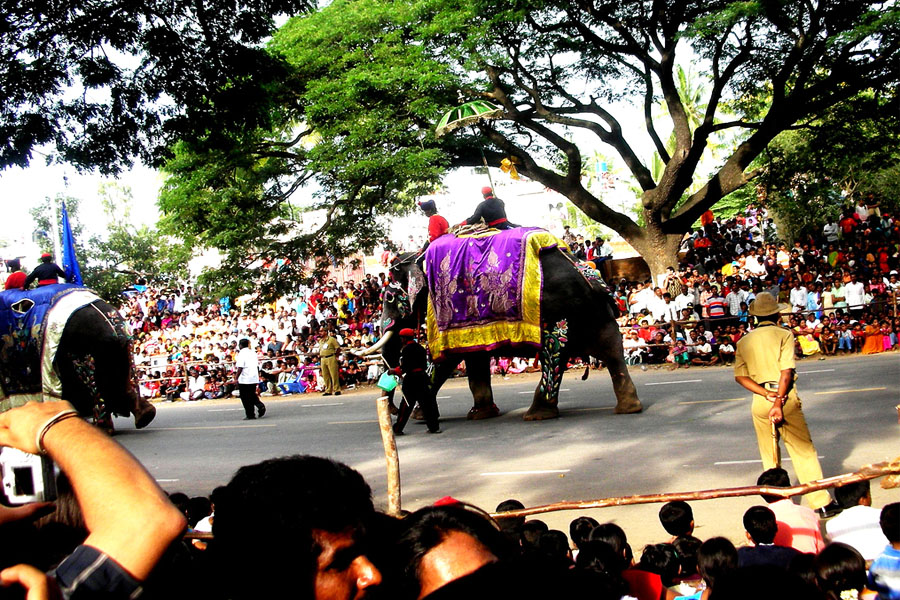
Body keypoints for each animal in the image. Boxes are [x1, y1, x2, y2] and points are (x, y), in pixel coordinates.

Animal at [362, 227, 644, 420]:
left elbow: (444, 361)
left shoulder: (440, 309)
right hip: (593, 312)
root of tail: (585, 272)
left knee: (554, 356)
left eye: (388, 298)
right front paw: (480, 414)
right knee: (611, 349)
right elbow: (473, 361)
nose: (391, 408)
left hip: (557, 313)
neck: (417, 256)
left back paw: (536, 415)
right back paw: (629, 408)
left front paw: (420, 415)